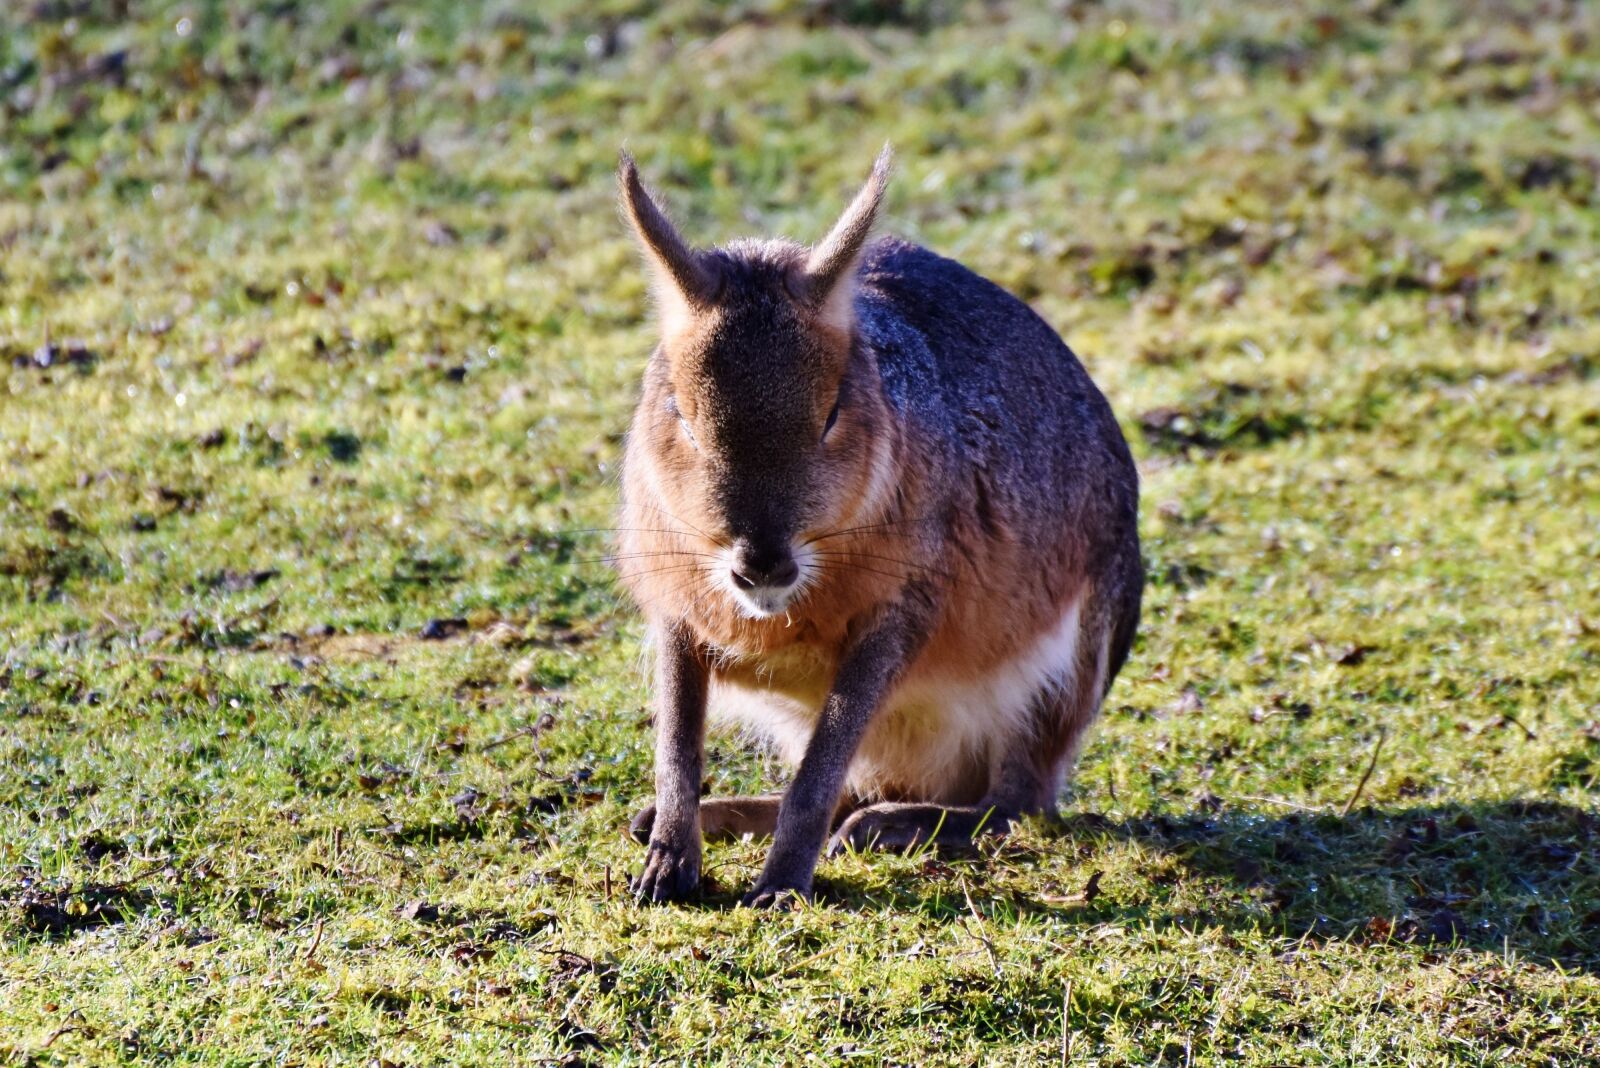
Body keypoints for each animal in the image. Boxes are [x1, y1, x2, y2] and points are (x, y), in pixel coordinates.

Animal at [614, 146, 1142, 907]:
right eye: (681, 415)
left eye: (832, 411)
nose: (761, 562)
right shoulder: (677, 612)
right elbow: (678, 748)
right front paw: (665, 864)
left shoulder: (902, 610)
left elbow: (817, 774)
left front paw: (781, 887)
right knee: (860, 787)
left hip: (1065, 673)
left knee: (1017, 801)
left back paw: (890, 825)